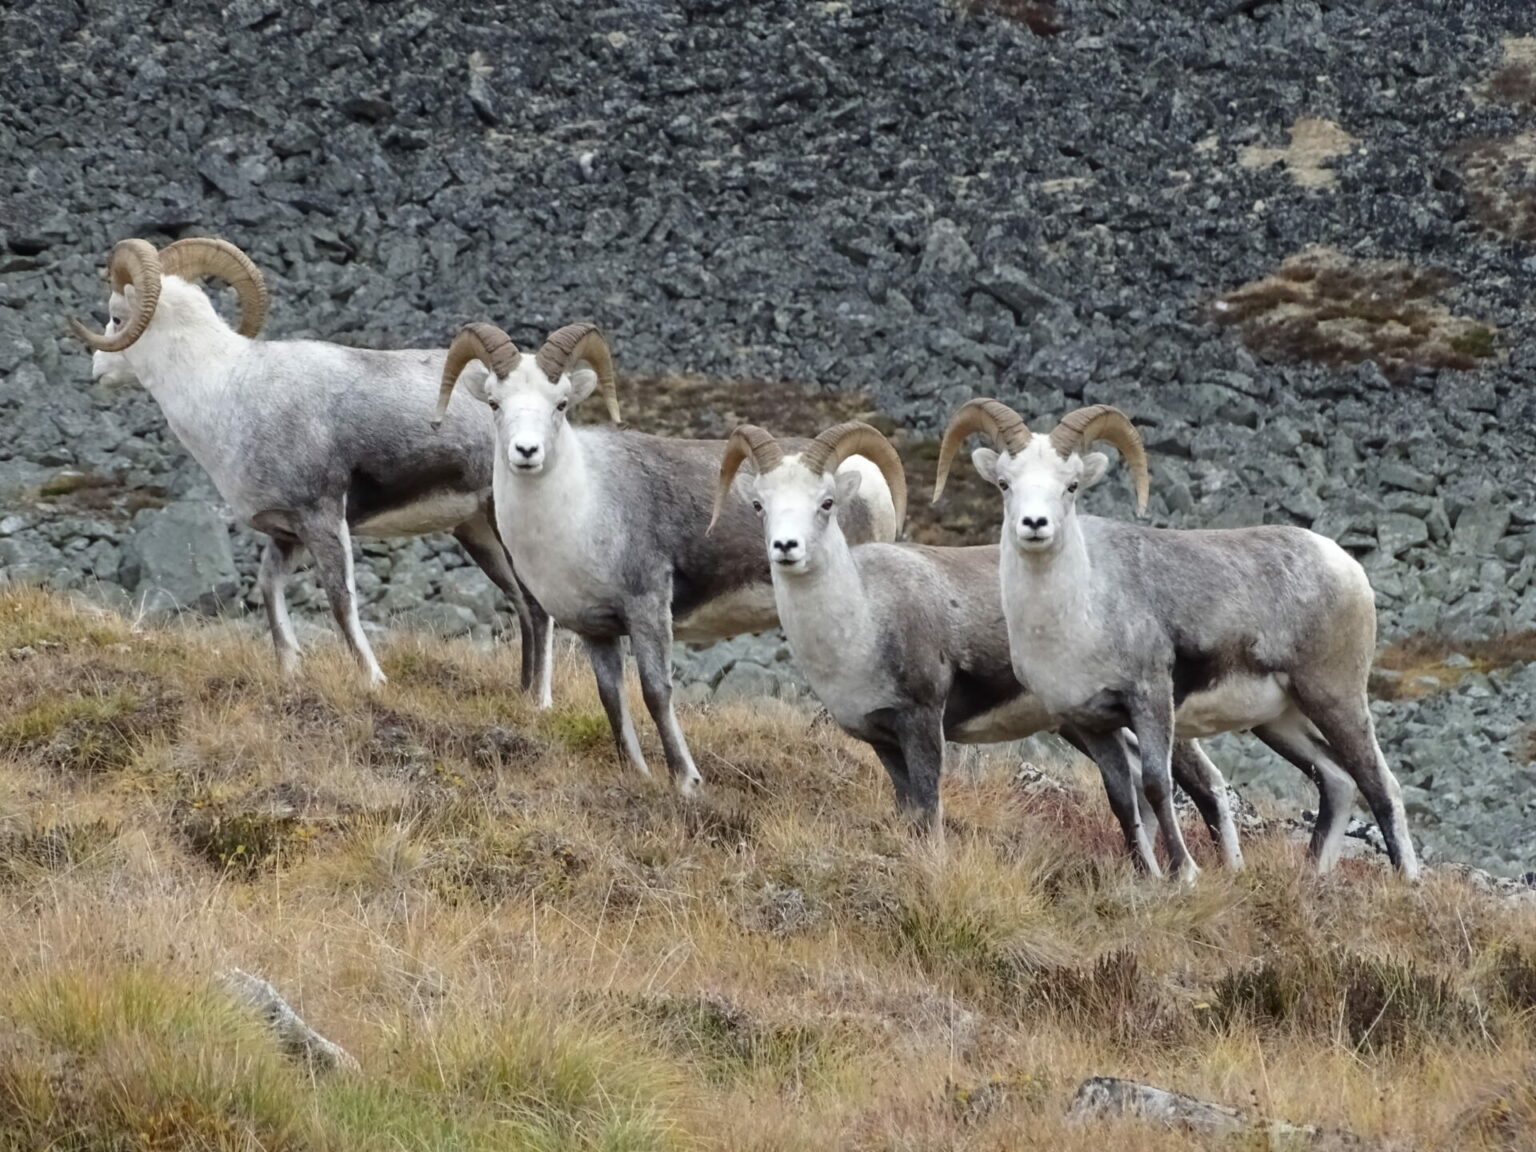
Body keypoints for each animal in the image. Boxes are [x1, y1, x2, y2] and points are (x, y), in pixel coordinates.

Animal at [69, 237, 555, 696]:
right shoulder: (287, 535)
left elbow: (341, 602)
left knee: (537, 607)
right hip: (477, 533)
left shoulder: (321, 519)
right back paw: (521, 693)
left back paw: (539, 701)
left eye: (116, 317)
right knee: (522, 604)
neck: (226, 391)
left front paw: (373, 681)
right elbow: (269, 589)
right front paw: (290, 671)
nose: (97, 370)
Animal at [433, 322, 900, 795]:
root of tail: (867, 480)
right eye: (494, 402)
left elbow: (655, 692)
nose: (526, 452)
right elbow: (612, 698)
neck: (581, 506)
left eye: (560, 404)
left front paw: (687, 780)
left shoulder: (649, 608)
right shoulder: (596, 630)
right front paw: (636, 771)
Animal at [711, 419, 1245, 870]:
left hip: (1153, 710)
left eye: (825, 503)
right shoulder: (884, 742)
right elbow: (910, 812)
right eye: (760, 505)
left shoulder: (923, 722)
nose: (786, 548)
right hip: (1086, 725)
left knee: (1204, 785)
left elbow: (930, 808)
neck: (859, 622)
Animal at [932, 398, 1419, 882]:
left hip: (1334, 698)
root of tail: (1345, 565)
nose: (1035, 525)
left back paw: (1408, 880)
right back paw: (1313, 874)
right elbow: (1122, 798)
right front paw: (1146, 874)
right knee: (1336, 780)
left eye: (1070, 485)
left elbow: (1156, 785)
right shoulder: (1093, 725)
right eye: (1004, 484)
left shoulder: (1150, 701)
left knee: (1380, 785)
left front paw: (1184, 873)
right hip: (1280, 720)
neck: (1076, 615)